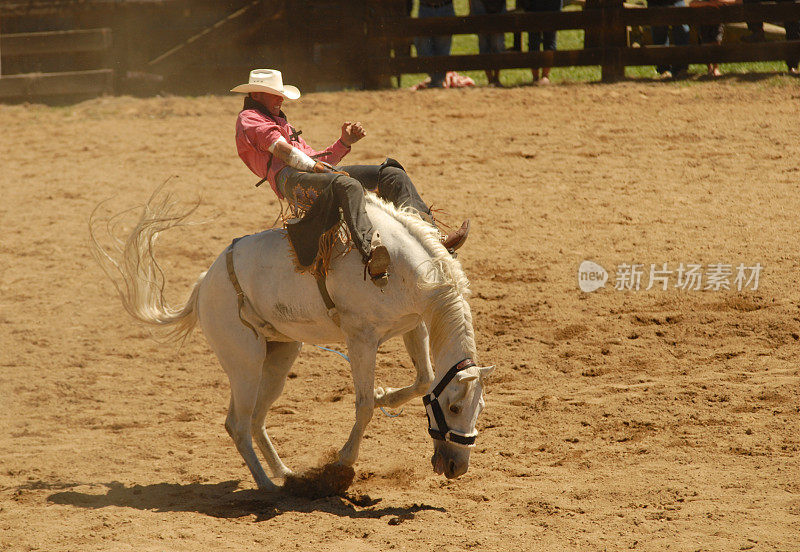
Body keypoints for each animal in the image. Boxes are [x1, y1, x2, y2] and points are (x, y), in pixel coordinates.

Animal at [94, 189, 494, 488]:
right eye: (455, 407)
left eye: (480, 409)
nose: (457, 468)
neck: (398, 263)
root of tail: (204, 285)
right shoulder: (361, 339)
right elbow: (363, 405)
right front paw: (342, 461)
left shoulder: (414, 324)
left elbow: (424, 380)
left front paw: (385, 395)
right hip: (244, 362)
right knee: (238, 424)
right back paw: (266, 487)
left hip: (280, 355)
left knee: (255, 419)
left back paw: (285, 474)